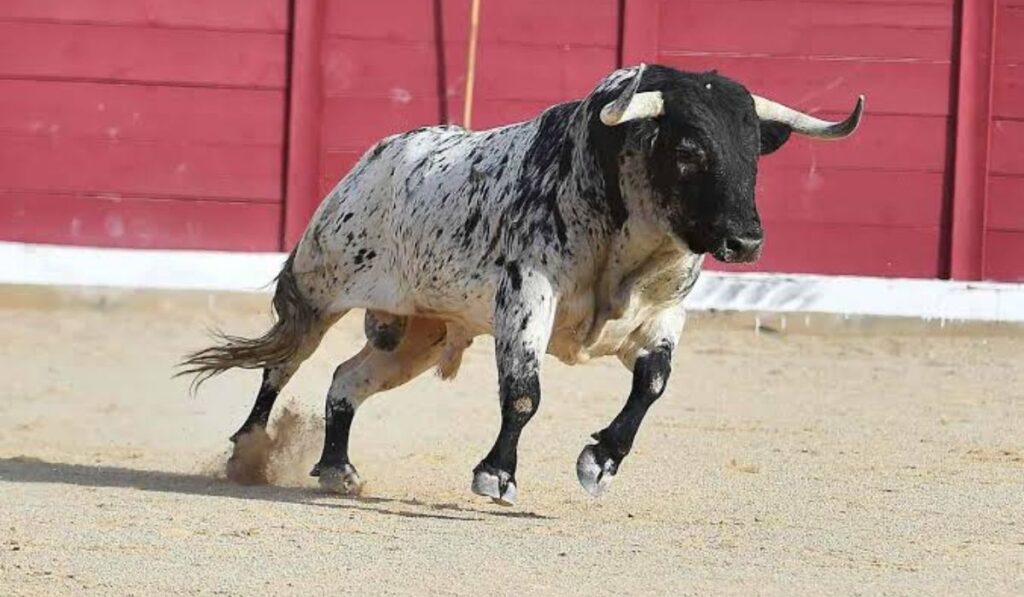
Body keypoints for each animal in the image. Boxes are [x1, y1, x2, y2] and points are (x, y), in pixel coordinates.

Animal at [180, 63, 863, 506]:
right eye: (690, 148)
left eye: (754, 152)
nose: (746, 241)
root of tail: (373, 161)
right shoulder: (525, 300)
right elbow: (524, 394)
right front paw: (497, 475)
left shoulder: (665, 315)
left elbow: (653, 384)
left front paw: (600, 462)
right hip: (322, 288)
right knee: (284, 363)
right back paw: (248, 448)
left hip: (422, 333)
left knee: (347, 380)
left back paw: (335, 467)